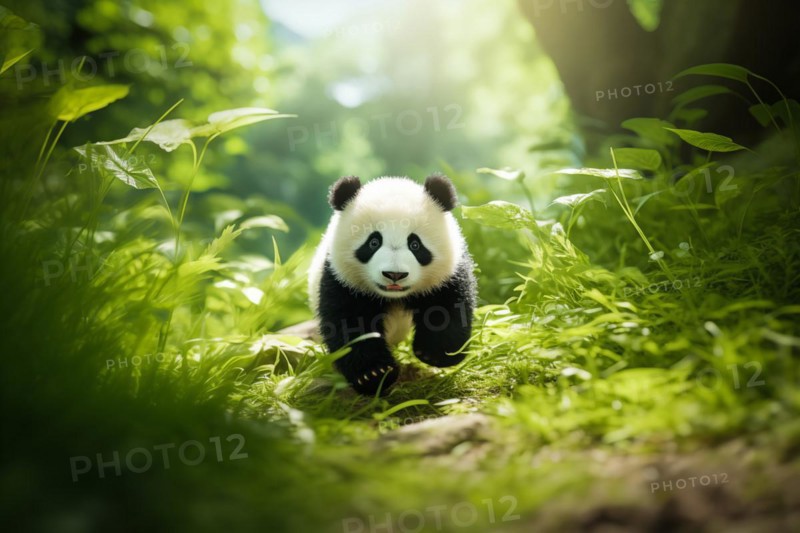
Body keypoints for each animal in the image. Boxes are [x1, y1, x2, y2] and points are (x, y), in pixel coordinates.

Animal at [309, 174, 477, 395]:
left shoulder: (447, 275)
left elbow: (448, 307)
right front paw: (373, 374)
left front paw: (435, 353)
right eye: (373, 242)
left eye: (415, 244)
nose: (394, 274)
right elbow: (350, 323)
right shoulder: (340, 279)